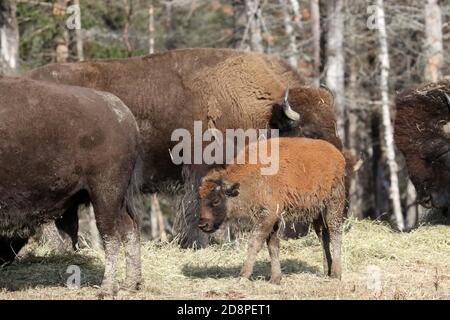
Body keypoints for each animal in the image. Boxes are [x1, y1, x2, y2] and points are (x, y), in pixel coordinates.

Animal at [0, 77, 142, 296]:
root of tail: (122, 113)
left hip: (105, 194)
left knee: (111, 234)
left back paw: (107, 289)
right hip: (118, 197)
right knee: (129, 229)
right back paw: (130, 284)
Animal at [27, 48, 344, 248]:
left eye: (335, 128)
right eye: (309, 134)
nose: (335, 167)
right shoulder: (199, 169)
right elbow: (196, 207)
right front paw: (198, 244)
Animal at [199, 137, 346, 282]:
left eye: (216, 201)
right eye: (200, 198)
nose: (203, 224)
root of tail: (337, 155)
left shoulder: (267, 216)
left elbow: (255, 242)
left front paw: (243, 276)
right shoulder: (273, 220)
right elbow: (272, 246)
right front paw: (275, 279)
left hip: (334, 203)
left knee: (335, 233)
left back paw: (336, 274)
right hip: (317, 212)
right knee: (323, 236)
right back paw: (327, 271)